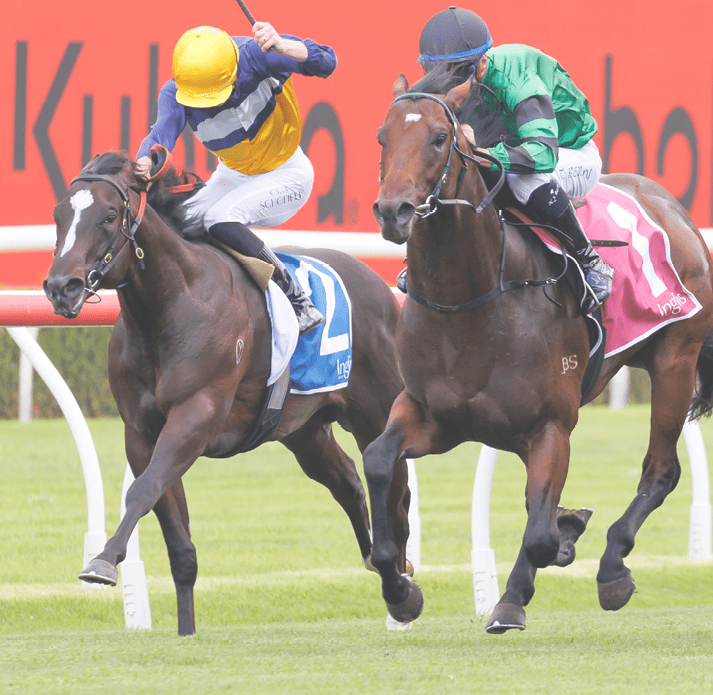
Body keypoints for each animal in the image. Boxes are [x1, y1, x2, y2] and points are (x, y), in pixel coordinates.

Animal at [44, 151, 408, 636]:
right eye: (58, 215)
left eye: (107, 216)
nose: (59, 287)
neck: (172, 302)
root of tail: (380, 288)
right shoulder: (140, 433)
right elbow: (173, 529)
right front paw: (186, 630)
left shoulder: (196, 415)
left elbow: (143, 490)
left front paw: (102, 561)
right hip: (304, 430)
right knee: (349, 482)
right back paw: (380, 566)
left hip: (376, 411)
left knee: (396, 493)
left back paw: (402, 585)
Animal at [364, 73, 712, 632]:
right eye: (381, 137)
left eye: (439, 137)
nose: (393, 211)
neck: (468, 302)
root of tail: (670, 205)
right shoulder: (432, 415)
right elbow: (378, 460)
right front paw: (401, 590)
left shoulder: (550, 427)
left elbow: (542, 534)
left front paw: (517, 593)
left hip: (675, 357)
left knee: (661, 470)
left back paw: (612, 568)